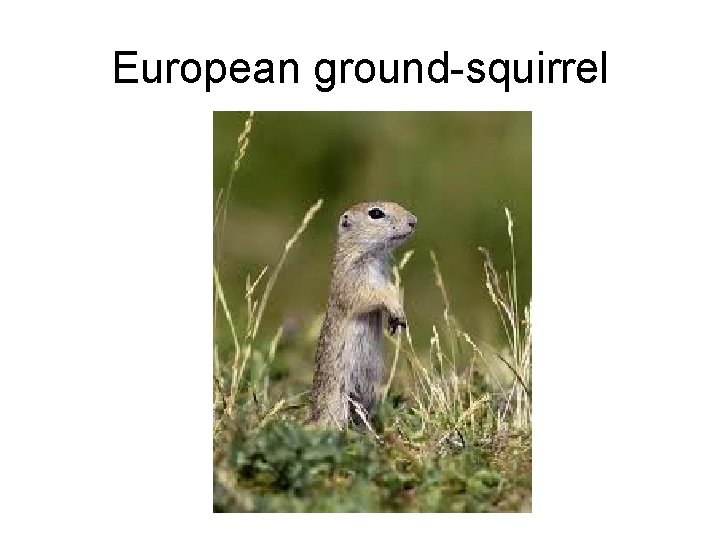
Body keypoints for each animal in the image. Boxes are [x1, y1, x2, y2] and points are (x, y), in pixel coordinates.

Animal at [309, 201, 417, 428]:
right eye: (376, 213)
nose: (414, 221)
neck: (373, 255)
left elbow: (390, 288)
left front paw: (397, 318)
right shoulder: (354, 280)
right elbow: (374, 295)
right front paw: (395, 309)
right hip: (337, 398)